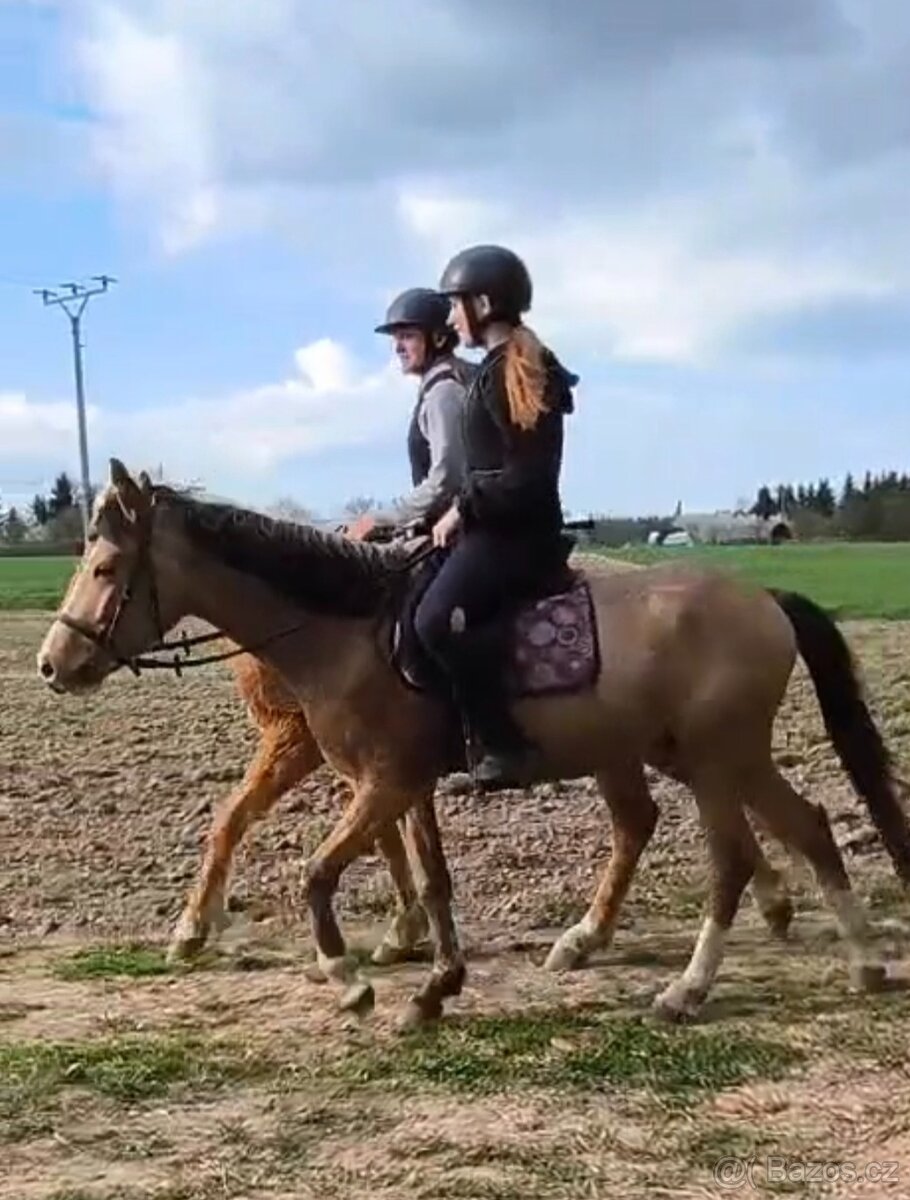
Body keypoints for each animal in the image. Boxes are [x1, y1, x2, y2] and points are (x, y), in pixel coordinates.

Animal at [37, 459, 910, 1029]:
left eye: (106, 567)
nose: (53, 663)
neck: (347, 628)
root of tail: (763, 596)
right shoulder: (403, 784)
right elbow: (431, 881)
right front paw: (432, 985)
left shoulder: (383, 781)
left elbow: (317, 873)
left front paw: (348, 978)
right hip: (711, 757)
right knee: (804, 826)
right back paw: (861, 962)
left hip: (716, 759)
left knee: (730, 857)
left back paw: (689, 989)